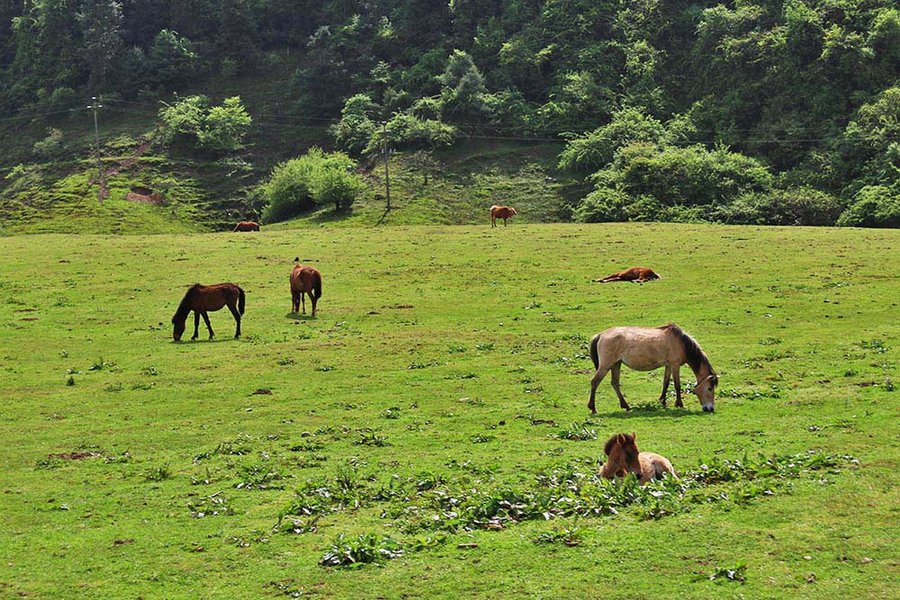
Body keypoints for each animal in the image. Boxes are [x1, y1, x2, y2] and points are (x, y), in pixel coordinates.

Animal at [588, 324, 720, 412]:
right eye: (709, 388)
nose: (710, 408)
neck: (681, 343)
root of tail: (601, 335)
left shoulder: (668, 365)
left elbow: (666, 383)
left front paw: (662, 402)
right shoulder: (675, 365)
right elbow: (677, 385)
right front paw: (679, 404)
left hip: (616, 364)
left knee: (615, 383)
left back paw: (626, 406)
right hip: (606, 365)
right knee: (595, 382)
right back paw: (593, 408)